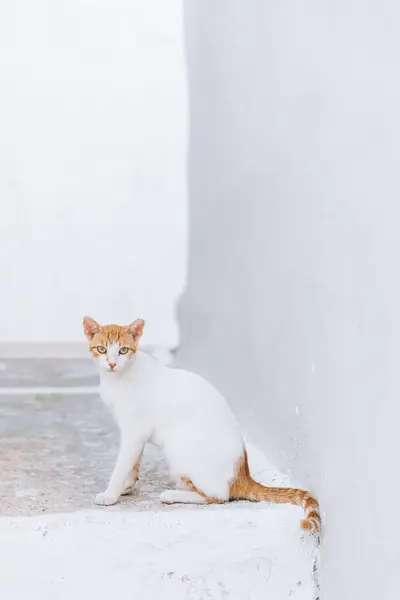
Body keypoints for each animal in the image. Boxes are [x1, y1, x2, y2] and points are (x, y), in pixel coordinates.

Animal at [83, 316, 320, 532]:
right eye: (102, 349)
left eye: (123, 351)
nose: (112, 363)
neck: (118, 379)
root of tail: (243, 474)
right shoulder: (135, 433)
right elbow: (133, 463)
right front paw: (127, 485)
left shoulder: (135, 432)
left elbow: (122, 464)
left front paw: (110, 494)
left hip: (178, 448)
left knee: (219, 496)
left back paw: (173, 494)